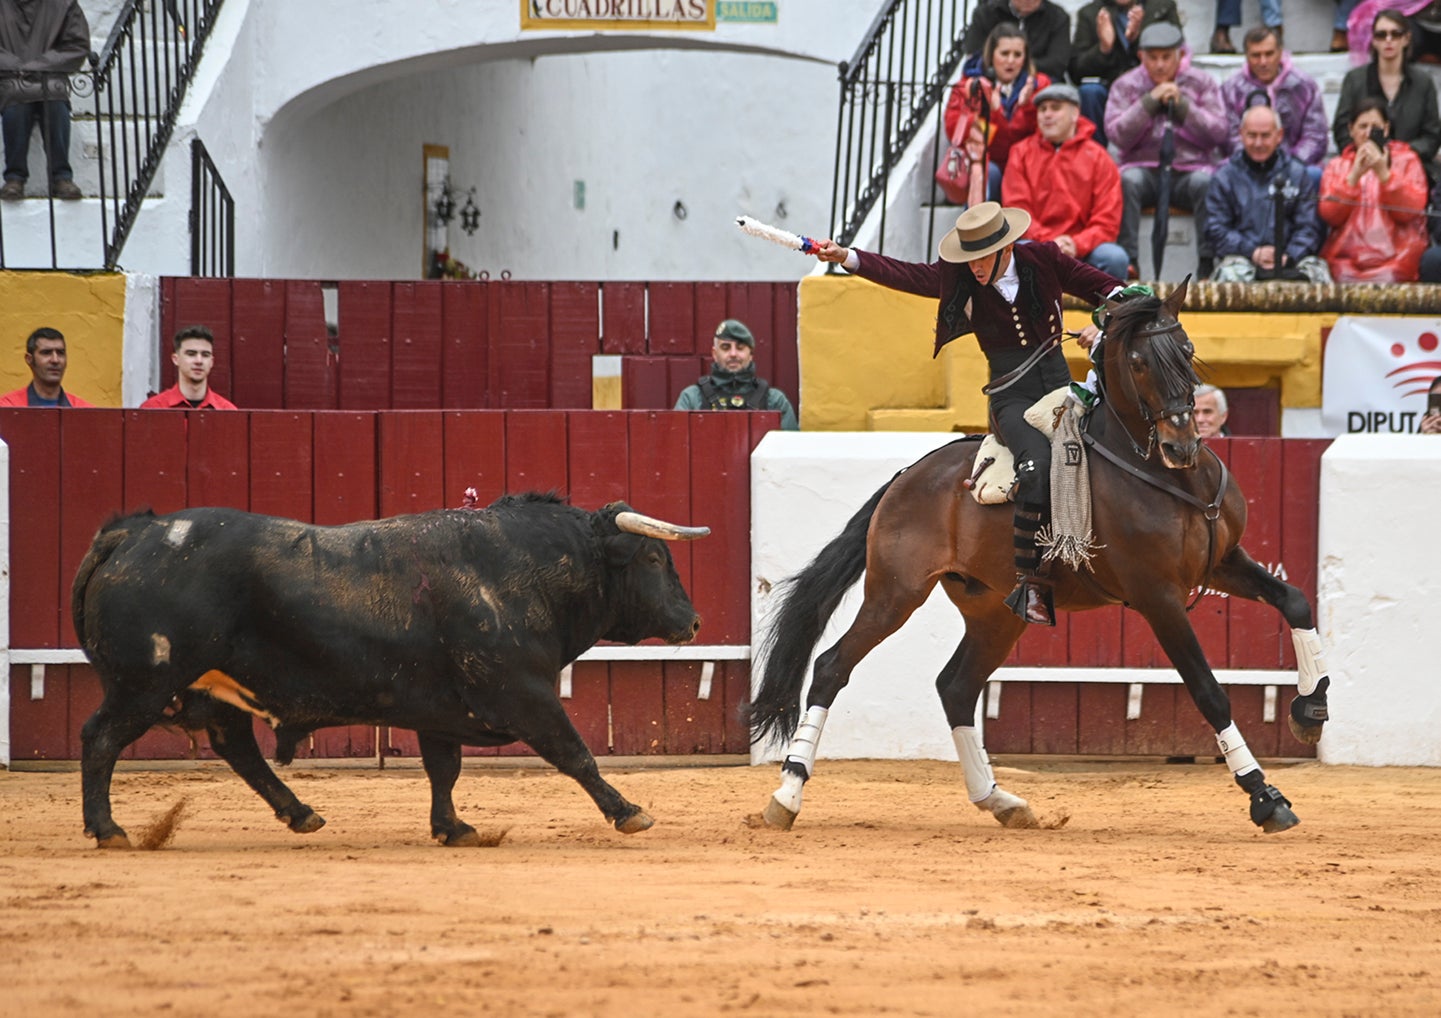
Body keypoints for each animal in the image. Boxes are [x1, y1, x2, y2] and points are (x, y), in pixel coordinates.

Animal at [70, 496, 711, 842]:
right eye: (656, 558)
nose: (693, 621)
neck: (522, 569)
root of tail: (134, 530)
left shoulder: (440, 711)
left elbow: (443, 770)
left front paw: (453, 828)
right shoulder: (525, 694)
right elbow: (575, 753)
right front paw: (629, 813)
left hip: (211, 685)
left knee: (237, 747)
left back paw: (301, 814)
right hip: (143, 683)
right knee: (100, 737)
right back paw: (108, 830)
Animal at [755, 279, 1325, 830]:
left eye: (1186, 349)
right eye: (1138, 362)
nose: (1181, 444)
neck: (1170, 478)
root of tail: (906, 476)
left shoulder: (1223, 562)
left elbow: (1294, 600)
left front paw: (1310, 708)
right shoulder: (1157, 596)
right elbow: (1208, 689)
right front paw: (1265, 796)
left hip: (994, 612)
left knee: (956, 687)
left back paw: (1001, 801)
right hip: (894, 594)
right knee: (832, 667)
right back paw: (786, 795)